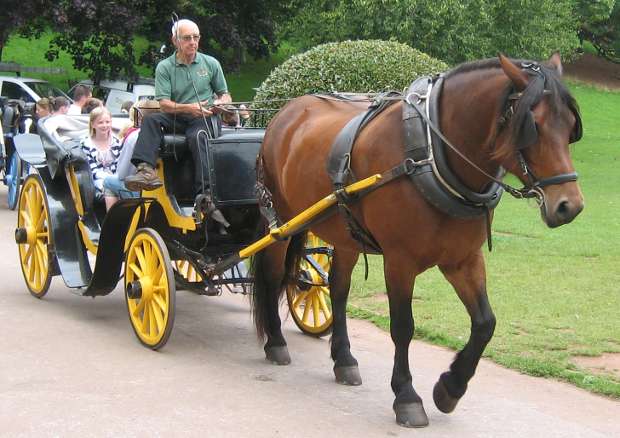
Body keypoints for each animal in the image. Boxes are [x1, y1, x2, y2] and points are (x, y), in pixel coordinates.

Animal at [249, 54, 584, 428]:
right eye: (534, 125)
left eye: (571, 126)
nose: (569, 205)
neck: (429, 155)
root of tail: (285, 112)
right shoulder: (400, 261)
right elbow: (403, 327)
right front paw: (407, 396)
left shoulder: (463, 259)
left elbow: (485, 323)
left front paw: (450, 388)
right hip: (281, 220)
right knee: (273, 275)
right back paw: (276, 342)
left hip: (345, 232)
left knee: (338, 289)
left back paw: (344, 359)